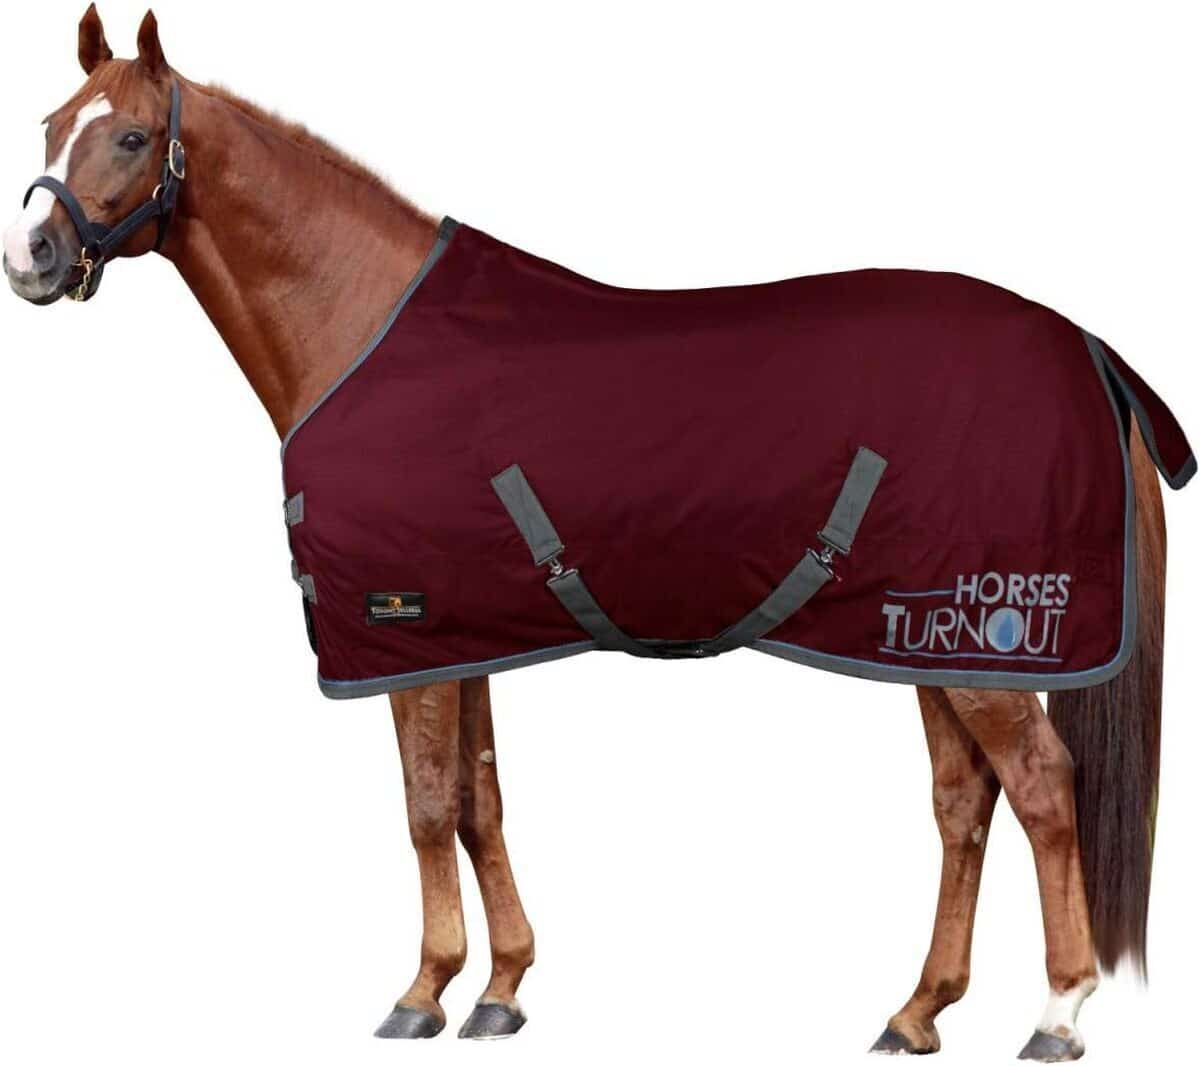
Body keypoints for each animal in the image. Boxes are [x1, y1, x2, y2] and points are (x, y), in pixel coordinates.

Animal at [3, 8, 1182, 1059]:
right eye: (50, 121)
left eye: (130, 136)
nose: (32, 257)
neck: (358, 323)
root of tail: (1087, 350)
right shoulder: (458, 636)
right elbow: (478, 801)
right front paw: (501, 990)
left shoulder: (399, 624)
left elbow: (426, 806)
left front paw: (422, 992)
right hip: (918, 635)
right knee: (963, 804)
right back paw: (916, 1011)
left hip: (988, 638)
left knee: (1042, 789)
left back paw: (1058, 1014)